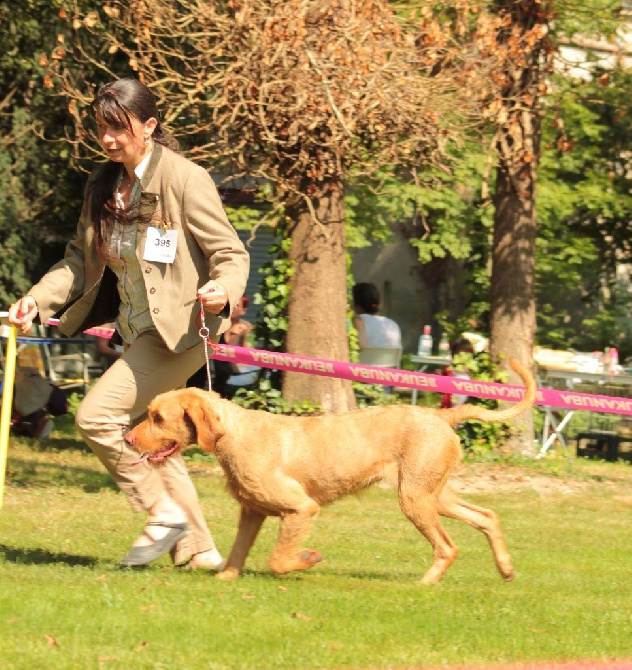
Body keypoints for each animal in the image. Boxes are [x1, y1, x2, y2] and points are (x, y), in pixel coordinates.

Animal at [126, 360, 536, 584]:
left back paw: (426, 582)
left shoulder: (300, 508)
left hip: (416, 498)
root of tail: (441, 414)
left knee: (448, 547)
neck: (236, 434)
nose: (127, 438)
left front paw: (307, 560)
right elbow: (237, 552)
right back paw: (507, 569)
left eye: (158, 418)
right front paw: (225, 577)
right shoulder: (252, 511)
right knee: (487, 516)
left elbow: (278, 559)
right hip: (434, 493)